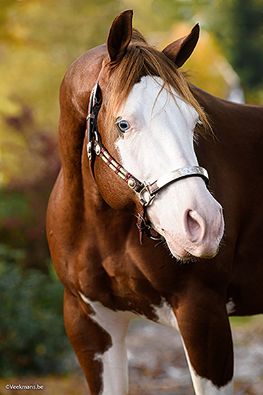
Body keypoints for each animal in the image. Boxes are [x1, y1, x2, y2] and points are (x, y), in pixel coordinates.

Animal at [47, 8, 263, 395]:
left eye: (194, 122)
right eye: (123, 124)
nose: (205, 224)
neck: (104, 225)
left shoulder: (202, 314)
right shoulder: (89, 322)